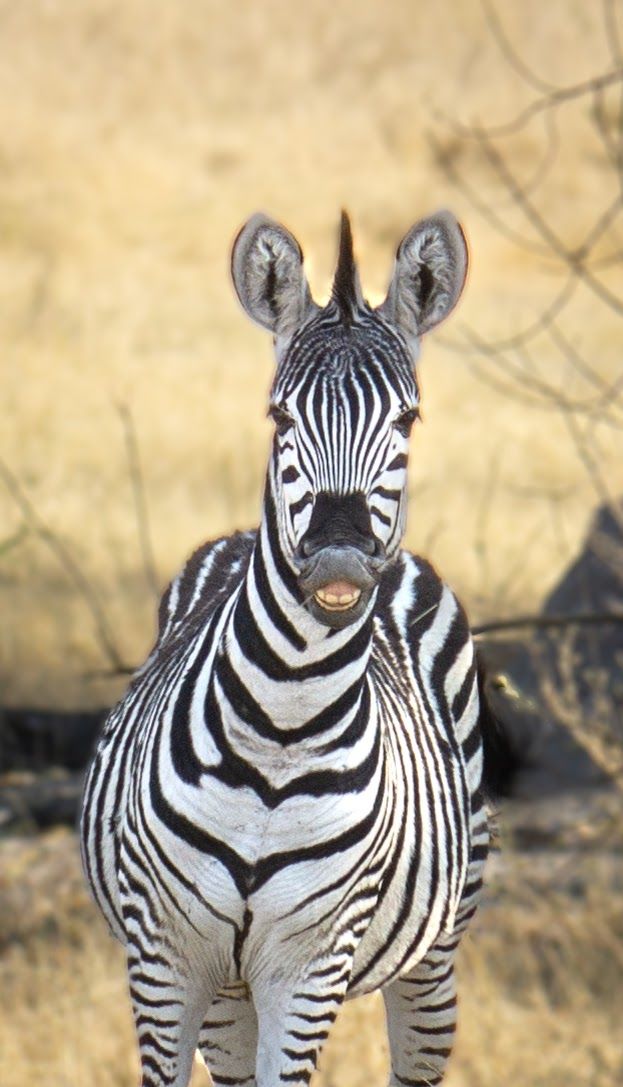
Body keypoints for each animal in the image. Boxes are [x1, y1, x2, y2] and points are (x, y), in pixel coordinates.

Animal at [81, 209, 491, 1087]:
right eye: (279, 417)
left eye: (407, 420)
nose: (337, 559)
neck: (281, 723)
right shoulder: (165, 960)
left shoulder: (306, 968)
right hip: (226, 991)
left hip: (435, 949)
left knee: (419, 1053)